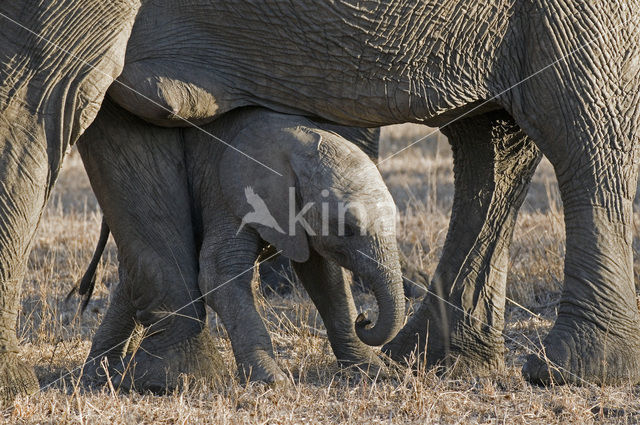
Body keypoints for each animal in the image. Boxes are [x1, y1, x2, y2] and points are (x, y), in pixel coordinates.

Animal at [0, 0, 636, 398]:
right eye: (347, 228)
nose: (367, 317)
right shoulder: (237, 190)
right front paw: (216, 382)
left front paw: (367, 371)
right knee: (508, 137)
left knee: (574, 125)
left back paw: (556, 372)